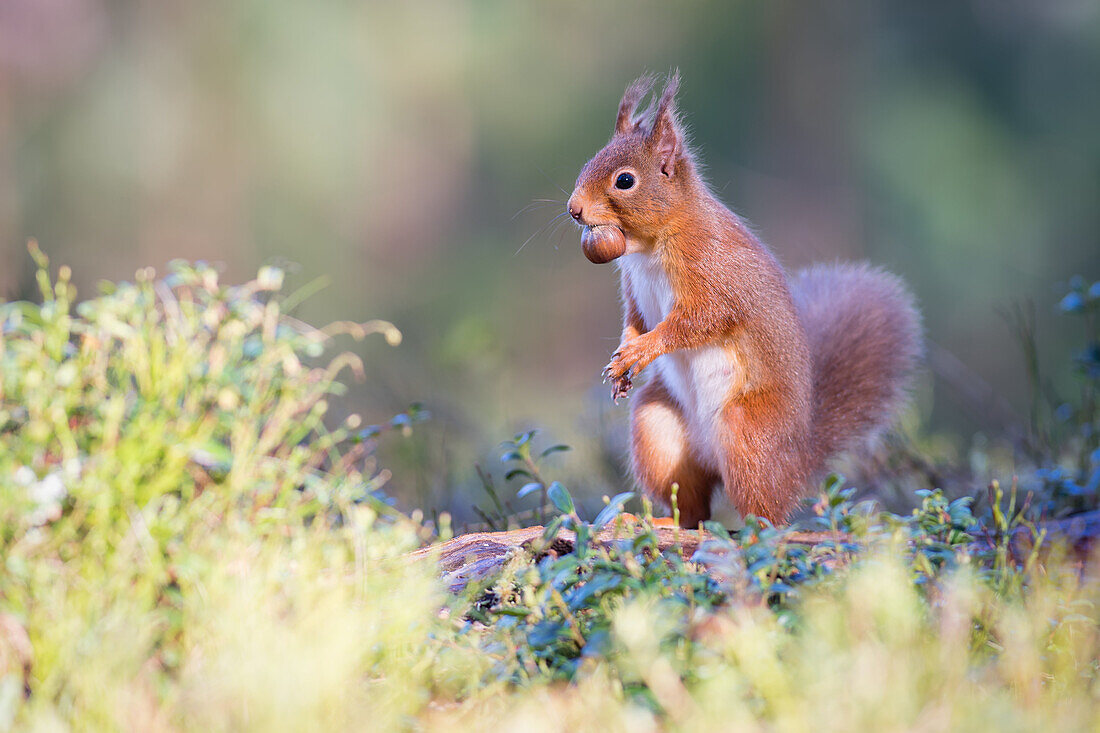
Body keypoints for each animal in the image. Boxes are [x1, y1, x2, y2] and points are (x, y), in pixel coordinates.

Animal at [567, 74, 919, 526]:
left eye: (624, 181)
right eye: (588, 162)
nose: (574, 209)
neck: (651, 244)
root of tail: (798, 460)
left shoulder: (713, 273)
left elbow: (698, 321)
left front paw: (642, 351)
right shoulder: (633, 286)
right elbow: (635, 321)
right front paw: (623, 358)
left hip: (747, 432)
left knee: (765, 511)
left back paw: (754, 529)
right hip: (657, 427)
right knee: (693, 509)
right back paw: (654, 521)